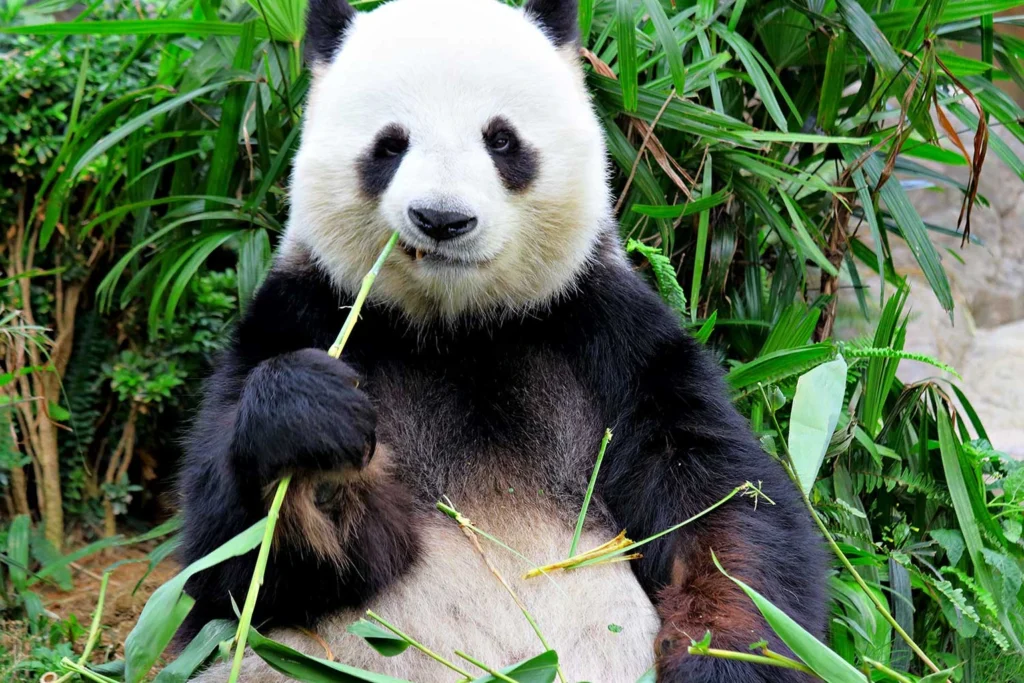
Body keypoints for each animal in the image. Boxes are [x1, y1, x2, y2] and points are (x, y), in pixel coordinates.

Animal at [178, 0, 827, 680]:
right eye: (390, 144)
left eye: (501, 140)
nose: (442, 220)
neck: (458, 327)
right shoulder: (302, 314)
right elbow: (233, 568)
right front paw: (314, 444)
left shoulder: (606, 333)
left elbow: (722, 505)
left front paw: (722, 654)